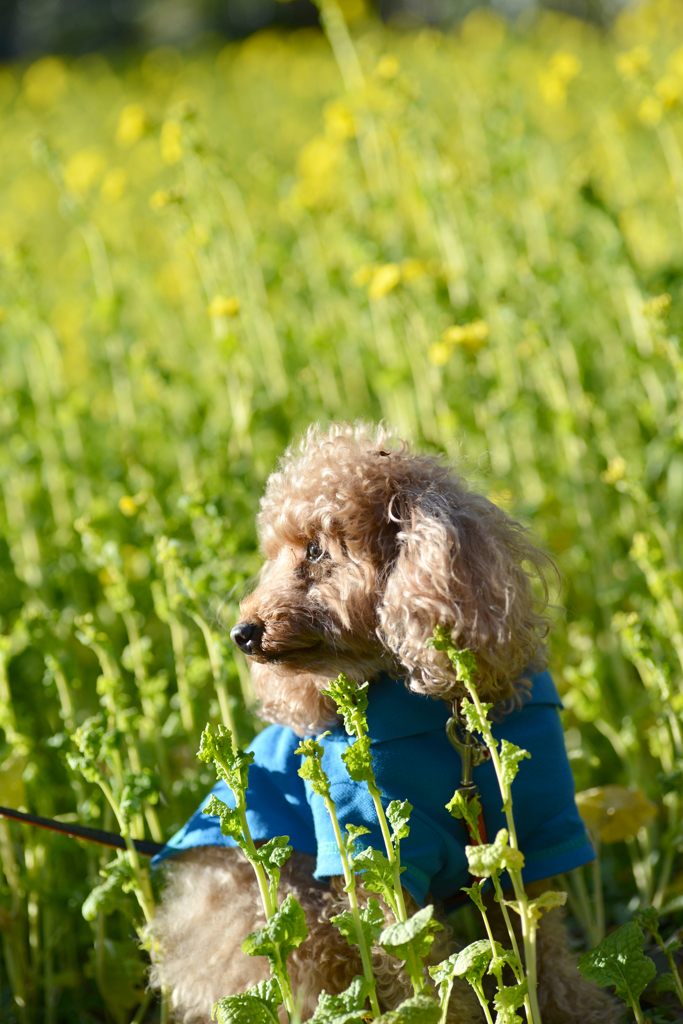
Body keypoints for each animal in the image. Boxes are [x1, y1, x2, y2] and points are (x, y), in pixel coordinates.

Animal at [152, 423, 622, 1024]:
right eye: (273, 557)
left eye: (316, 550)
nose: (242, 633)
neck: (442, 714)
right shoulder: (377, 853)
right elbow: (420, 961)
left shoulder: (536, 826)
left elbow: (545, 945)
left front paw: (585, 1008)